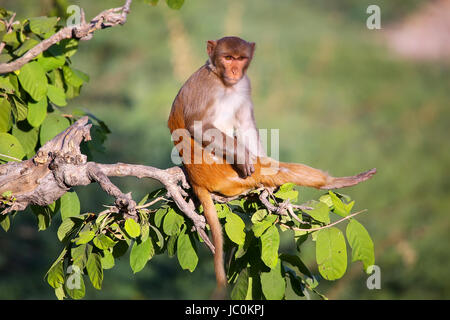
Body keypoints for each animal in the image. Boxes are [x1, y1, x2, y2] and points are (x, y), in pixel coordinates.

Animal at [167, 36, 374, 294]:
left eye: (240, 59)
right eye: (228, 58)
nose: (234, 71)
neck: (224, 83)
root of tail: (197, 179)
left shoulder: (244, 85)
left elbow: (246, 124)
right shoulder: (206, 88)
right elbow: (198, 127)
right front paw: (243, 156)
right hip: (224, 173)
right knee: (272, 170)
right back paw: (334, 182)